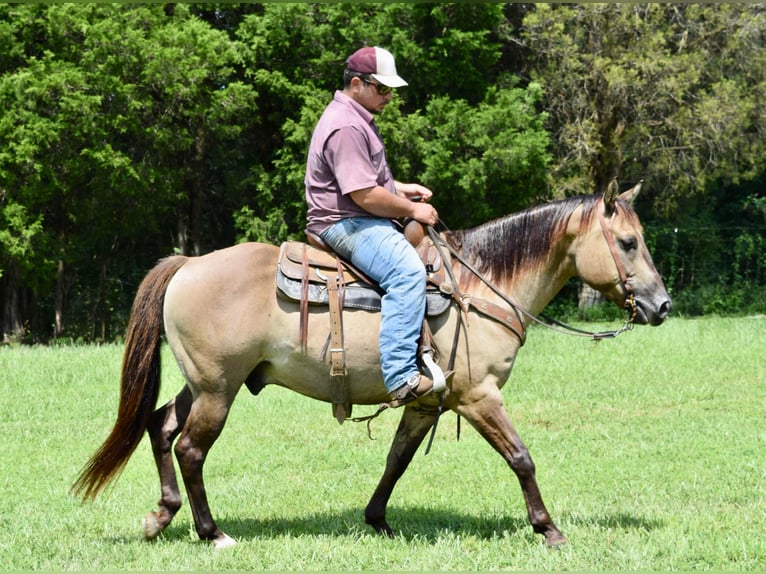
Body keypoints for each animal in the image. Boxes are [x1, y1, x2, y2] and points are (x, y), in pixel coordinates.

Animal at [72, 180, 672, 548]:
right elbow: (521, 458)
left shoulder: (428, 402)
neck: (480, 286)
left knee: (160, 427)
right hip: (219, 389)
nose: (662, 305)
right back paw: (212, 531)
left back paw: (161, 515)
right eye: (628, 242)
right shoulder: (479, 396)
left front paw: (377, 520)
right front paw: (548, 529)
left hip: (202, 384)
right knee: (191, 449)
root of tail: (188, 264)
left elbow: (396, 461)